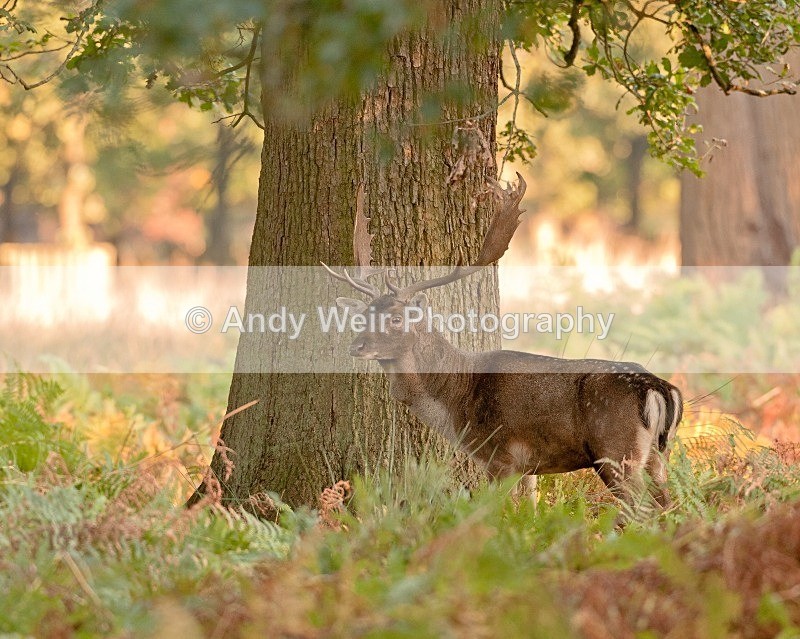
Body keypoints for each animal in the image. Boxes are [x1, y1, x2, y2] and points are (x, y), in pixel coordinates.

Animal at [322, 174, 683, 513]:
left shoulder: (499, 455)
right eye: (363, 316)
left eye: (397, 318)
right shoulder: (529, 466)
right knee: (669, 506)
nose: (357, 347)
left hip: (616, 451)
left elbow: (494, 513)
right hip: (656, 454)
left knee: (643, 511)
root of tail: (659, 388)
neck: (456, 398)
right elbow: (530, 511)